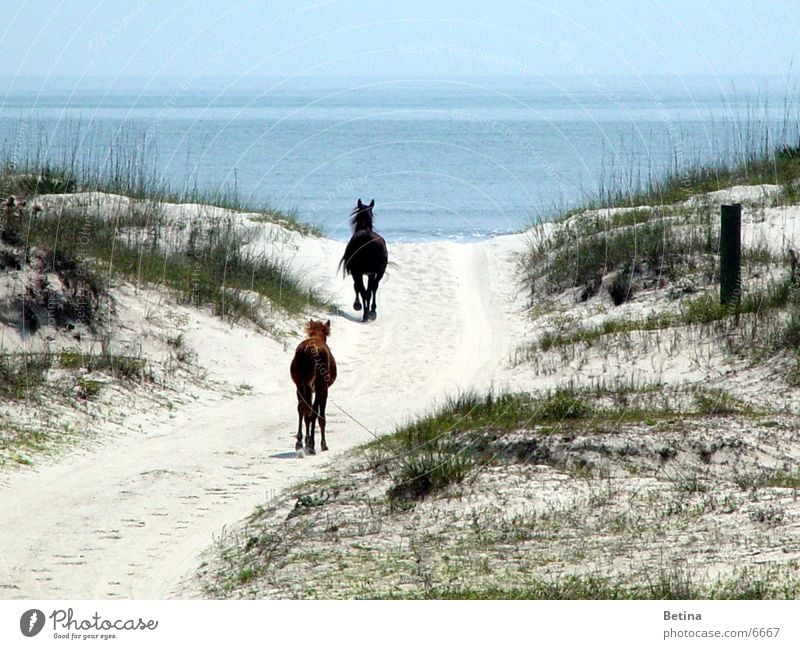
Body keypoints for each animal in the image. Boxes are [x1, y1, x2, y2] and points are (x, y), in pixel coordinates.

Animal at [290, 320, 336, 456]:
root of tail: (310, 349)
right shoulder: (324, 389)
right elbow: (320, 416)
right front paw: (320, 444)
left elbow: (307, 414)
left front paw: (307, 441)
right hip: (319, 385)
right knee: (313, 411)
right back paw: (311, 445)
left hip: (300, 384)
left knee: (302, 408)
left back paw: (299, 443)